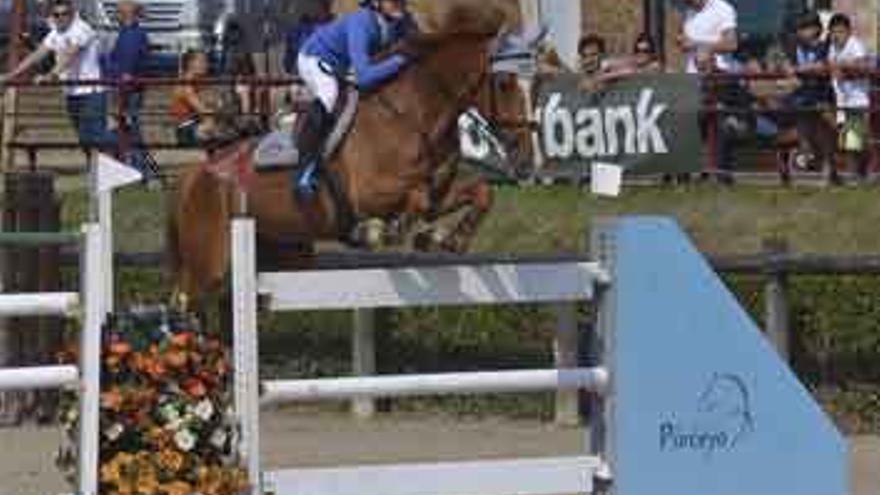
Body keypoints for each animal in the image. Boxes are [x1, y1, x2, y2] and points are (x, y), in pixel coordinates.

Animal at [169, 2, 524, 302]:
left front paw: (446, 239)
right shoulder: (369, 194)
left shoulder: (440, 192)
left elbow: (479, 192)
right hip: (207, 265)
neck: (413, 115)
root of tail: (195, 174)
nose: (520, 145)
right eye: (505, 82)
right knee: (187, 302)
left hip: (284, 249)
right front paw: (385, 232)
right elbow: (416, 198)